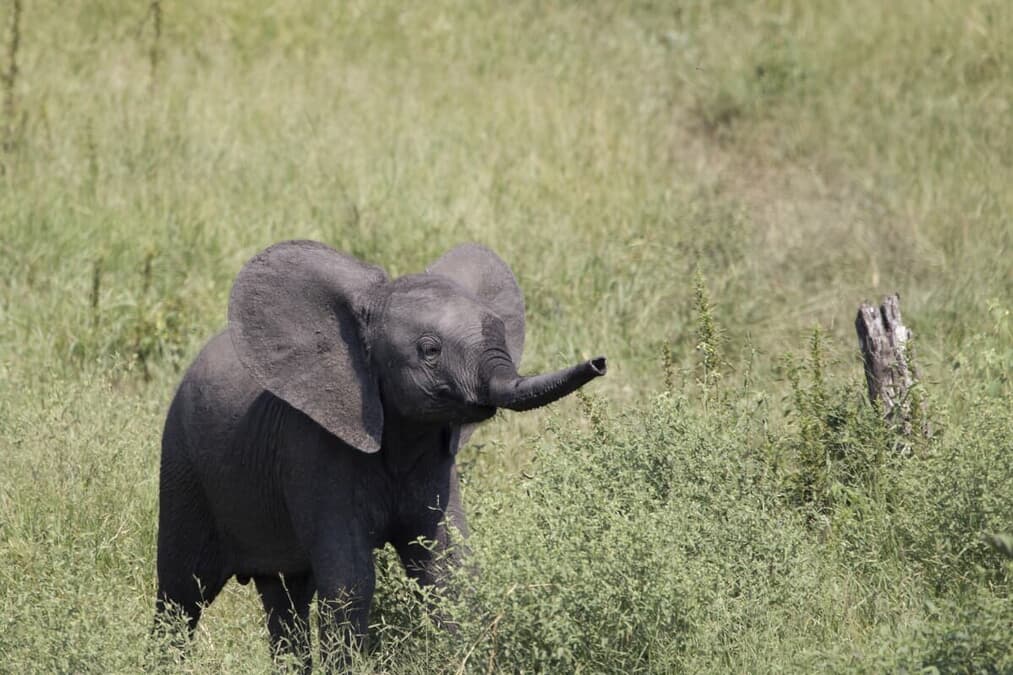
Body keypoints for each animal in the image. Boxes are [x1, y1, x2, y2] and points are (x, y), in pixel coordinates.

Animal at [153, 239, 603, 664]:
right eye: (430, 350)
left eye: (500, 332)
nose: (599, 361)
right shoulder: (314, 448)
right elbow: (350, 581)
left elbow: (448, 570)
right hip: (183, 466)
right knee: (181, 592)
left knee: (285, 596)